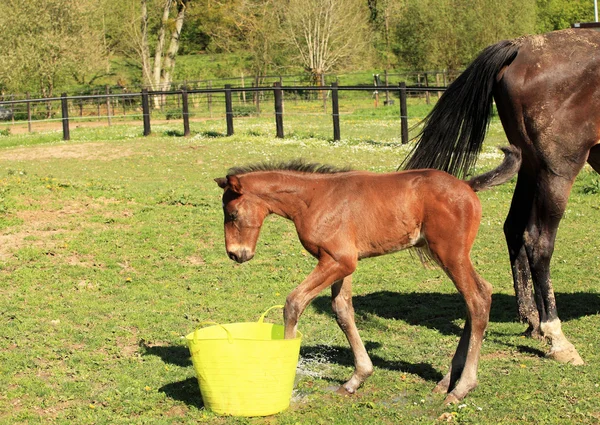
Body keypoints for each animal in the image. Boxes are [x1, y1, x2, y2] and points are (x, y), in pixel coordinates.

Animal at [214, 147, 520, 404]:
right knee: (476, 298)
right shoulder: (342, 263)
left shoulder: (337, 261)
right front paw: (356, 379)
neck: (313, 199)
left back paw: (461, 388)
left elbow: (294, 303)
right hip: (449, 257)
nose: (235, 254)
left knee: (478, 299)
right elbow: (342, 311)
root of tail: (467, 185)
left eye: (232, 214)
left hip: (450, 255)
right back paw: (447, 381)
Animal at [404, 29, 600, 364]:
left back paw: (533, 320)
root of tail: (521, 46)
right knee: (539, 243)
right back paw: (556, 337)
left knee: (514, 229)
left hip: (529, 165)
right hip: (556, 171)